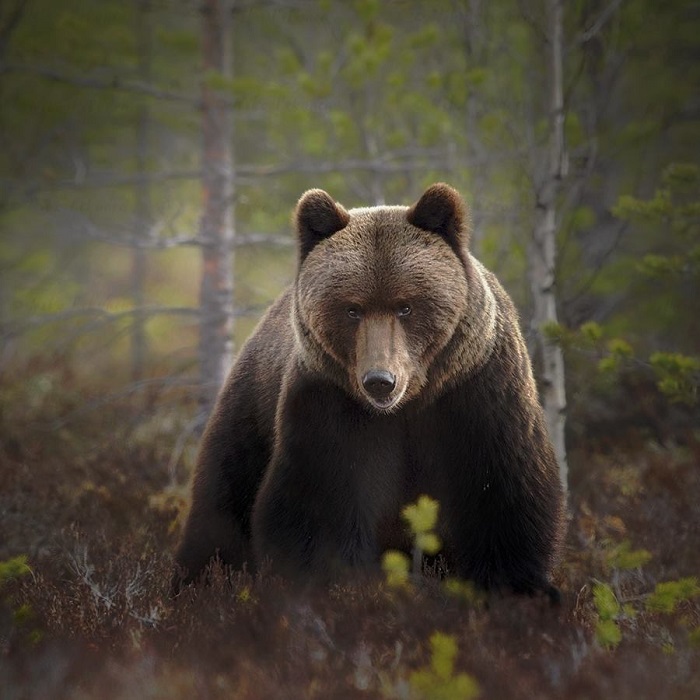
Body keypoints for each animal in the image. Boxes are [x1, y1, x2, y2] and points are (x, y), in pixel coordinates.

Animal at [172, 183, 568, 600]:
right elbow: (319, 510)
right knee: (219, 506)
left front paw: (520, 588)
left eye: (406, 306)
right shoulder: (330, 407)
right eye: (352, 309)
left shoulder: (479, 395)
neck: (409, 404)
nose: (380, 380)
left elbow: (504, 497)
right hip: (250, 411)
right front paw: (340, 586)